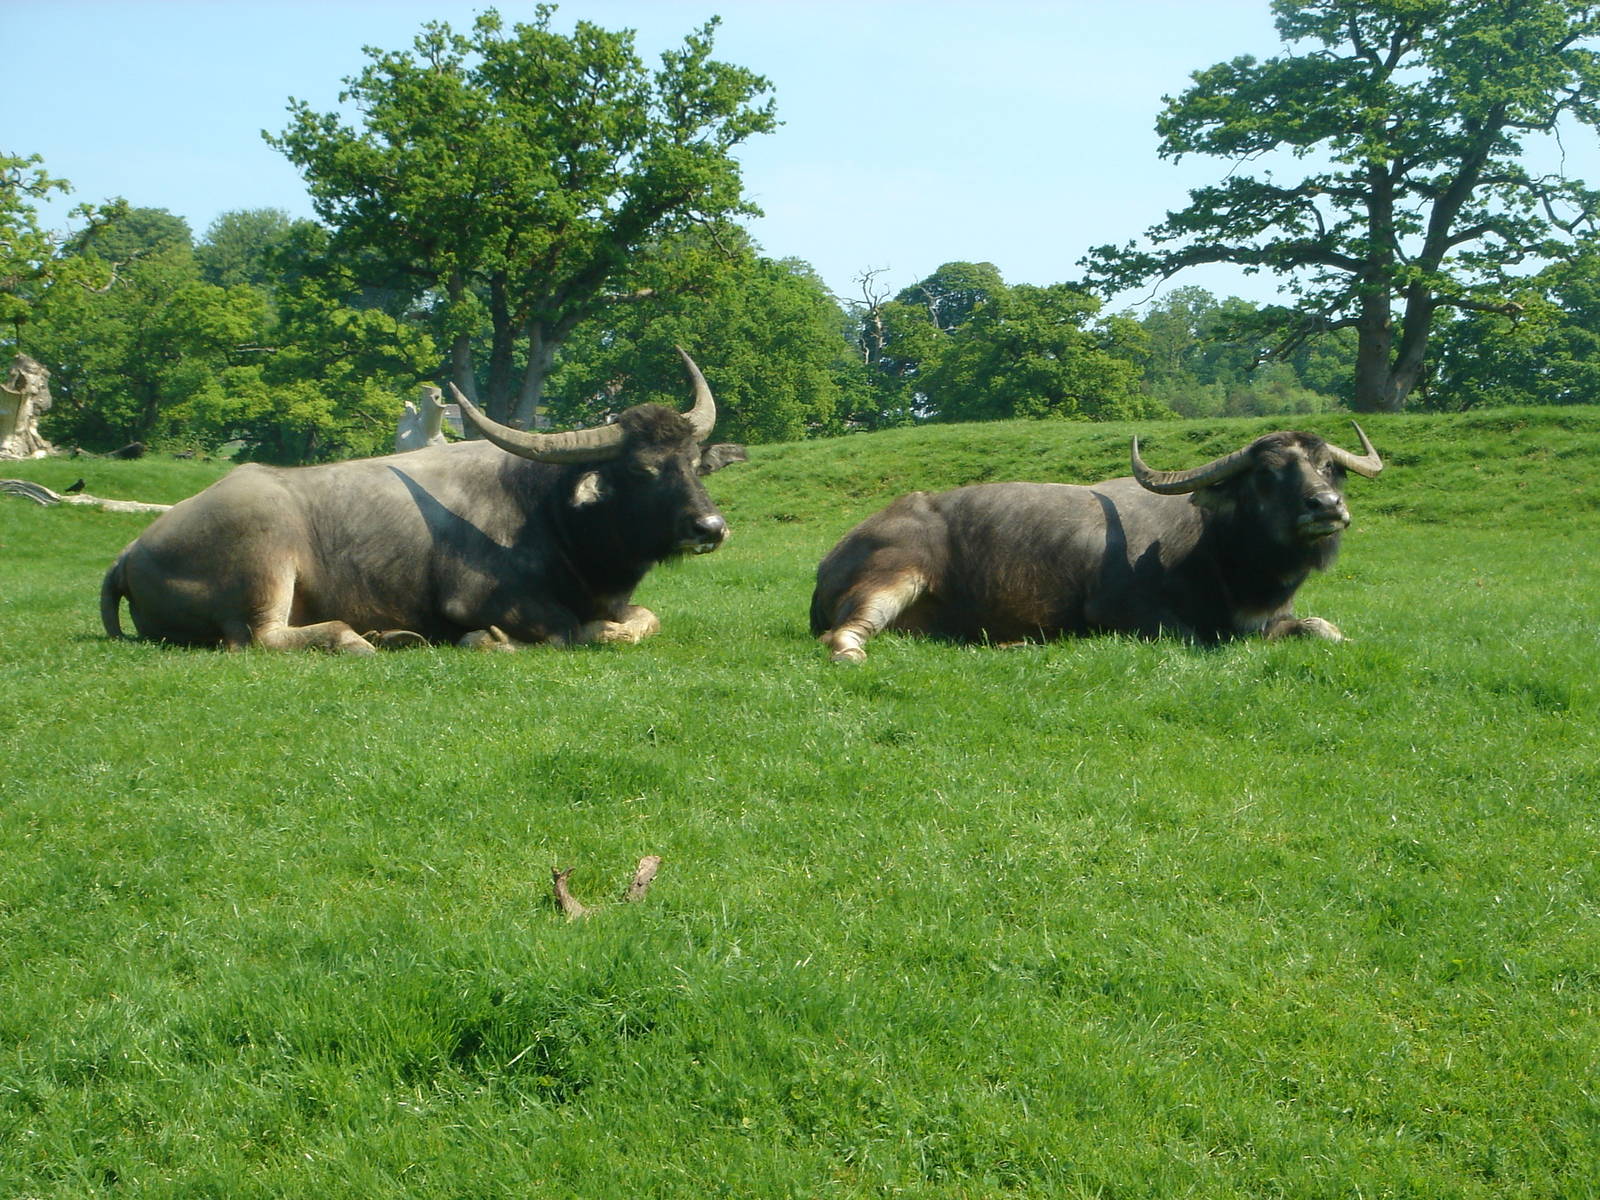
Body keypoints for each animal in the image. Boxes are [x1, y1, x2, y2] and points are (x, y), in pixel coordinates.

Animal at [101, 349, 739, 653]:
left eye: (691, 461)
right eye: (640, 469)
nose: (711, 527)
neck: (547, 513)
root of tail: (132, 550)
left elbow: (642, 620)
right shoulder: (480, 600)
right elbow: (564, 631)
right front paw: (490, 642)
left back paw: (392, 637)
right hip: (267, 562)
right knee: (259, 638)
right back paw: (353, 641)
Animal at [811, 424, 1383, 663]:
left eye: (1329, 466)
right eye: (1267, 472)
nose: (1327, 506)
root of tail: (833, 556)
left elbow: (1323, 628)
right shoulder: (1122, 611)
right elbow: (1194, 637)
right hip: (892, 579)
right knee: (844, 633)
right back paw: (850, 653)